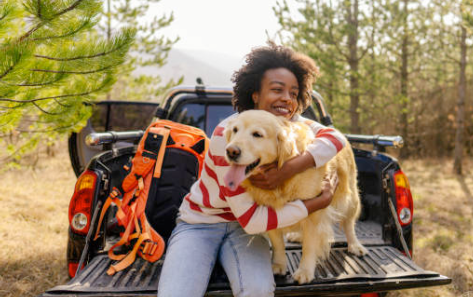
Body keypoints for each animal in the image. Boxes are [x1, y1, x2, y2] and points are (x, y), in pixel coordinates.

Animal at [223, 108, 366, 282]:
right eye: (235, 130)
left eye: (257, 134)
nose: (231, 151)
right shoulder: (270, 211)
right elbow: (278, 243)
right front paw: (278, 265)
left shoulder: (314, 213)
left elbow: (309, 246)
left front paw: (305, 271)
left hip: (350, 199)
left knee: (348, 223)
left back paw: (355, 245)